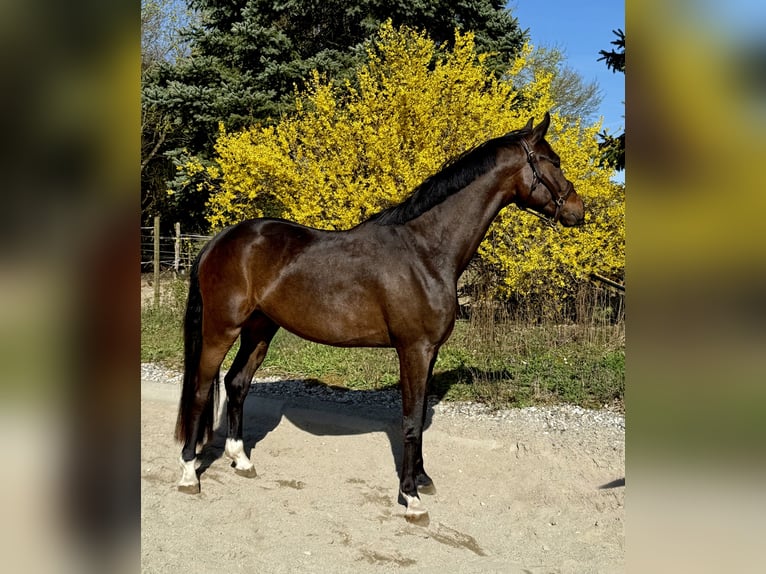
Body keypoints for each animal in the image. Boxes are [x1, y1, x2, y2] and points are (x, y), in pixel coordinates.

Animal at [175, 112, 585, 522]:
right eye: (554, 161)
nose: (578, 210)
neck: (425, 251)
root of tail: (221, 239)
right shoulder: (414, 349)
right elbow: (410, 421)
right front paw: (411, 498)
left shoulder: (430, 351)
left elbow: (419, 416)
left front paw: (421, 479)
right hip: (221, 328)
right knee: (200, 388)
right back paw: (189, 472)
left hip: (260, 328)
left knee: (237, 382)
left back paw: (241, 459)